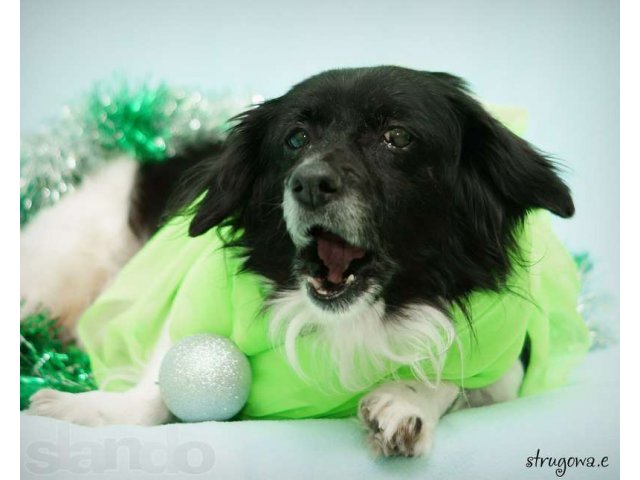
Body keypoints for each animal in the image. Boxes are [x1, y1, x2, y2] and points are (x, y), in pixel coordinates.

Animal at [25, 65, 576, 456]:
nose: (309, 182)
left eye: (398, 137)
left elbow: (459, 376)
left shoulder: (510, 362)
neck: (356, 323)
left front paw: (405, 401)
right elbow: (157, 383)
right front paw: (85, 407)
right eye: (296, 139)